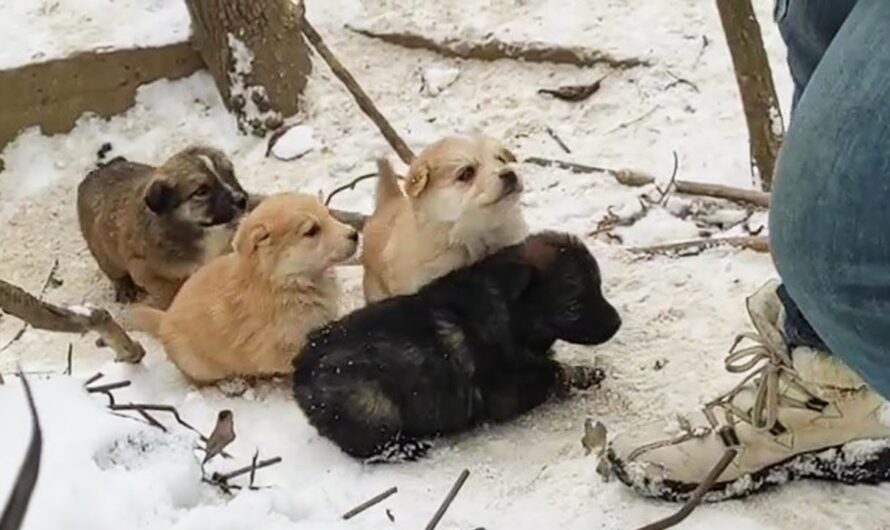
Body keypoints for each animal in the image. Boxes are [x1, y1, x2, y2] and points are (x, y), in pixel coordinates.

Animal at [77, 146, 250, 308]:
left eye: (230, 173)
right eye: (201, 191)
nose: (242, 200)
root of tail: (97, 171)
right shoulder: (144, 270)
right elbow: (168, 294)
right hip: (106, 256)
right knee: (116, 274)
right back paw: (125, 289)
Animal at [130, 192, 360, 382]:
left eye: (328, 214)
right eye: (311, 231)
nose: (355, 234)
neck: (284, 282)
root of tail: (164, 318)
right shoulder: (276, 350)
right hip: (196, 365)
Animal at [294, 231, 620, 458]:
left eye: (599, 288)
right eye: (575, 304)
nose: (617, 322)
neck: (509, 309)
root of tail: (301, 367)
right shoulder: (507, 392)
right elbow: (553, 371)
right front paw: (579, 374)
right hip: (370, 405)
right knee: (366, 444)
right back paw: (406, 448)